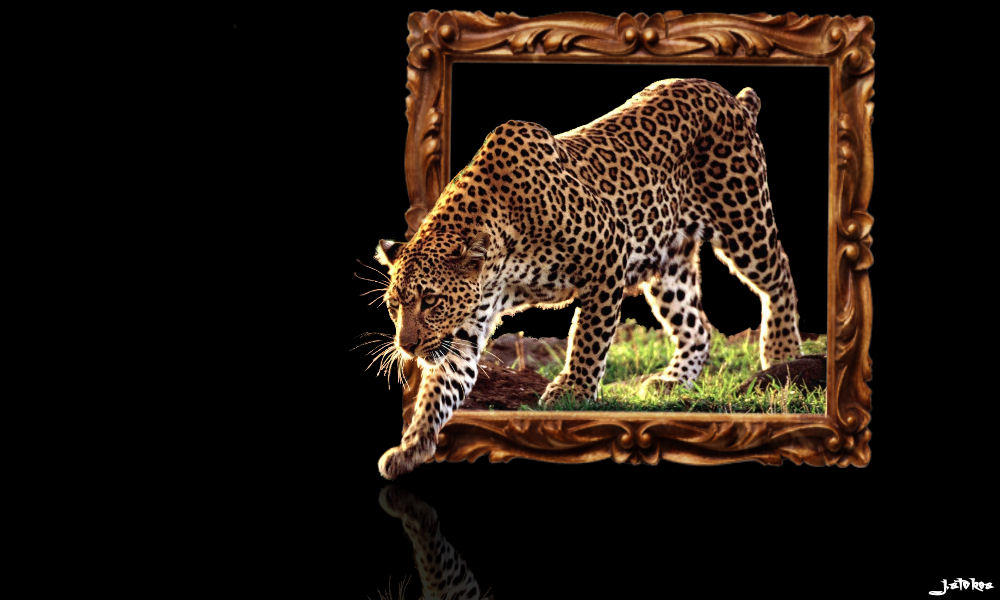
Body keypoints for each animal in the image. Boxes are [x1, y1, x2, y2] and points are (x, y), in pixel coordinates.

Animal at [375, 78, 802, 479]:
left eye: (431, 301)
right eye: (395, 306)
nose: (407, 347)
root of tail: (730, 96)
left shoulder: (608, 254)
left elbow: (588, 336)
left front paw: (574, 390)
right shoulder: (464, 329)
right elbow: (441, 389)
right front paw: (412, 446)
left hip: (743, 220)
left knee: (779, 275)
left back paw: (782, 354)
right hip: (669, 263)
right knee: (697, 326)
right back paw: (673, 381)